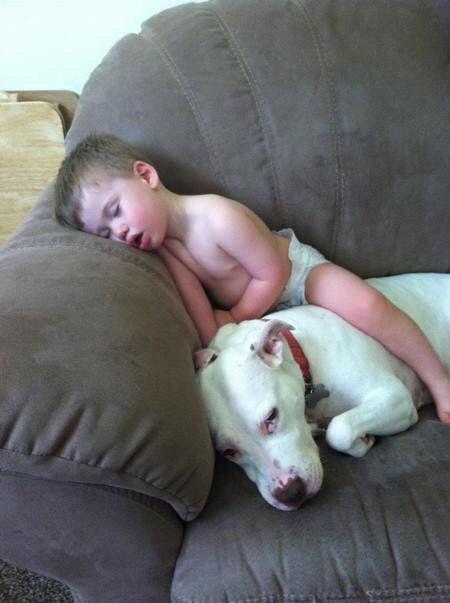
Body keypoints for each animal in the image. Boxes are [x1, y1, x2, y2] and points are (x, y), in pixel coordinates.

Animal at [195, 276, 448, 512]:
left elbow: (339, 429)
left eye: (271, 416)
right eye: (228, 451)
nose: (290, 493)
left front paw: (362, 441)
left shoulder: (395, 397)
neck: (304, 354)